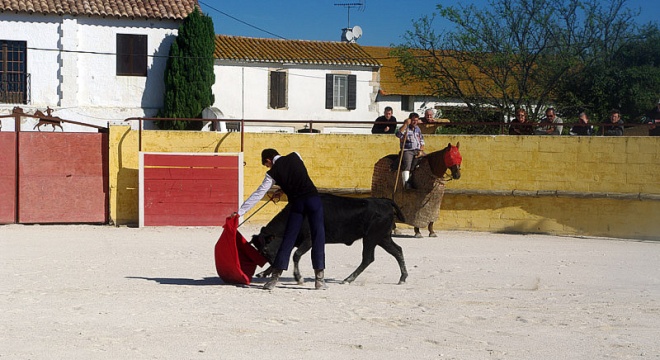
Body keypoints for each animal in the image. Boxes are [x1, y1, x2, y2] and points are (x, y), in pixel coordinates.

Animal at [251, 194, 408, 284]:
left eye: (265, 250)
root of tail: (385, 202)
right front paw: (264, 273)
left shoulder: (309, 240)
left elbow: (296, 255)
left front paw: (298, 277)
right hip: (382, 238)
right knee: (397, 251)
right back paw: (403, 277)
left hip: (371, 238)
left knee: (368, 258)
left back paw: (348, 279)